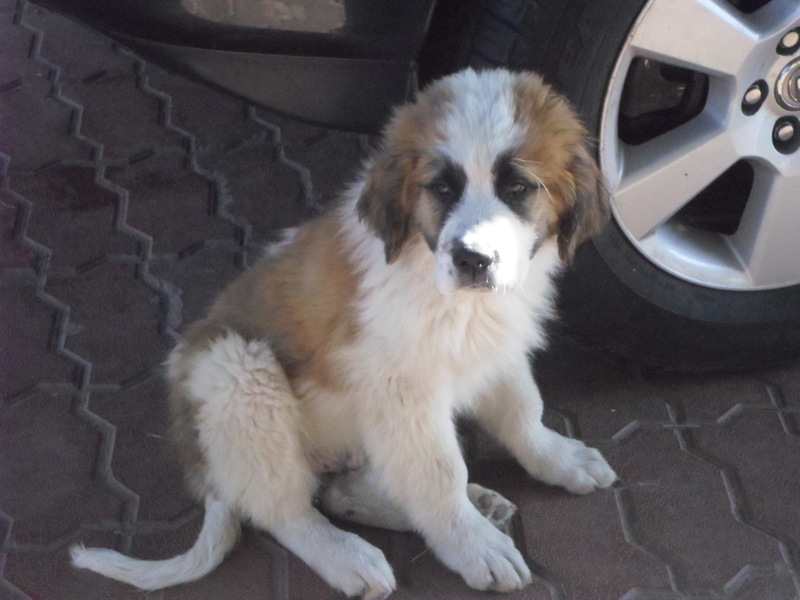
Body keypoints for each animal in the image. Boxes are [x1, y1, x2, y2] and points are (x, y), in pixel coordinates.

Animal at [71, 68, 617, 598]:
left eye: (518, 188)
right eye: (441, 189)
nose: (472, 259)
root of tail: (206, 472)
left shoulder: (496, 348)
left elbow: (521, 410)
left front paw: (557, 457)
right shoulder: (403, 392)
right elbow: (440, 472)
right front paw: (473, 544)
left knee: (339, 491)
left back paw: (470, 505)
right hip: (236, 372)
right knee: (285, 509)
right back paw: (347, 554)